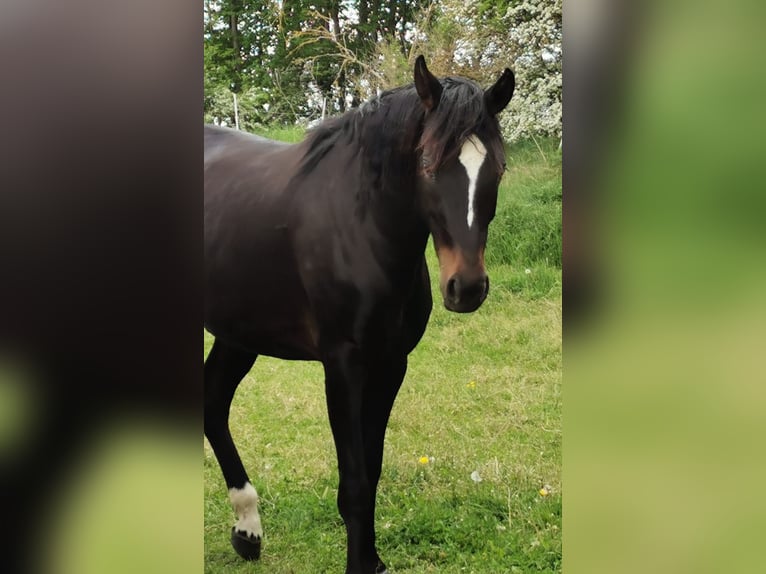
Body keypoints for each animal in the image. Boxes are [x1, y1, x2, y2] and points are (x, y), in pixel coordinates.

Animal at [204, 55, 515, 574]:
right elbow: (354, 482)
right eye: (427, 164)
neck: (362, 231)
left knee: (212, 405)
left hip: (238, 333)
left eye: (499, 167)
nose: (467, 288)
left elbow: (372, 470)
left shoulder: (390, 365)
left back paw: (247, 530)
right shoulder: (343, 367)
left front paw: (372, 561)